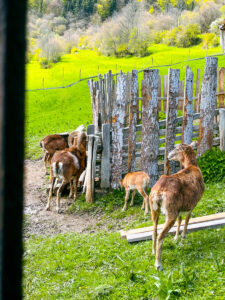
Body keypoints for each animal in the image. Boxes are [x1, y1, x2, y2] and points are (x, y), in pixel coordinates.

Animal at [149, 142, 205, 270]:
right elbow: (187, 218)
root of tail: (159, 192)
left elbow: (180, 219)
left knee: (154, 231)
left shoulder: (180, 207)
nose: (168, 155)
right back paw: (158, 265)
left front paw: (176, 237)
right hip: (171, 211)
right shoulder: (192, 203)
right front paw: (183, 236)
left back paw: (153, 252)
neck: (193, 166)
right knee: (160, 235)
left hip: (154, 209)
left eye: (176, 149)